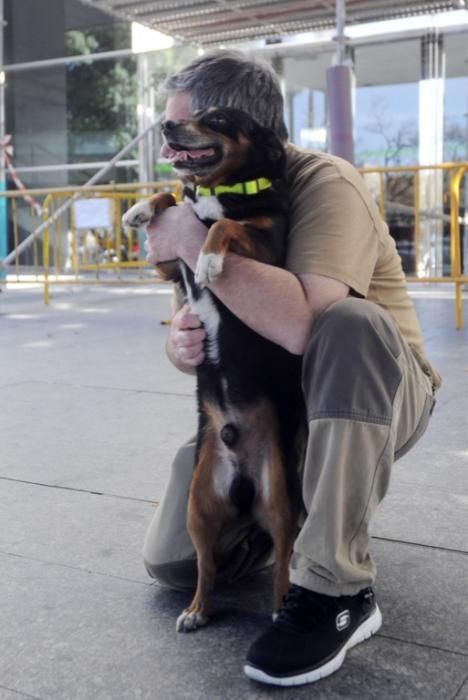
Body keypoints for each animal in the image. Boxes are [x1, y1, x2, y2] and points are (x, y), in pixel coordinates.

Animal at [123, 106, 304, 632]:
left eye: (218, 118)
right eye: (193, 115)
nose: (167, 125)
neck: (224, 189)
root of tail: (242, 481)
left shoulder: (266, 248)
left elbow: (221, 230)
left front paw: (208, 259)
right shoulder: (166, 266)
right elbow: (170, 198)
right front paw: (140, 210)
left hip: (280, 501)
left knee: (283, 560)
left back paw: (280, 607)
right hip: (198, 508)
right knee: (206, 566)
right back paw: (196, 610)